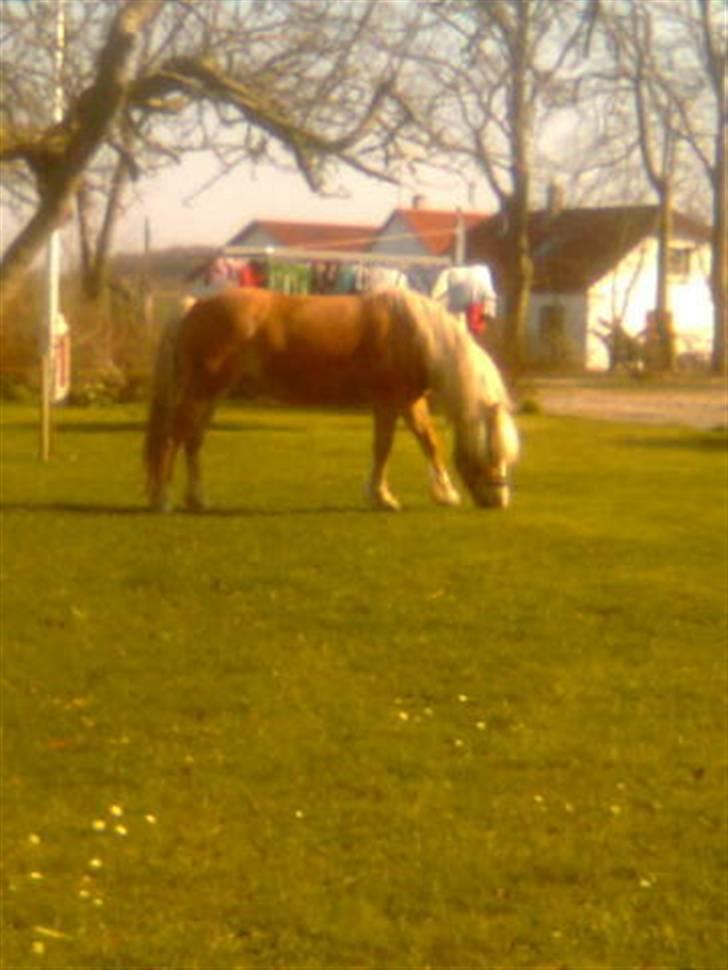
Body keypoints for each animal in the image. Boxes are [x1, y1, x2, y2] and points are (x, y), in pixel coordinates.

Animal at [142, 288, 516, 510]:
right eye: (491, 452)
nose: (499, 500)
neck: (414, 334)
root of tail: (195, 306)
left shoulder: (408, 402)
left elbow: (427, 441)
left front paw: (440, 493)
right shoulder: (389, 402)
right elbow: (387, 447)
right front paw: (384, 496)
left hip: (212, 394)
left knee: (193, 441)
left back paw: (197, 499)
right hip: (200, 392)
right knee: (173, 438)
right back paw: (162, 499)